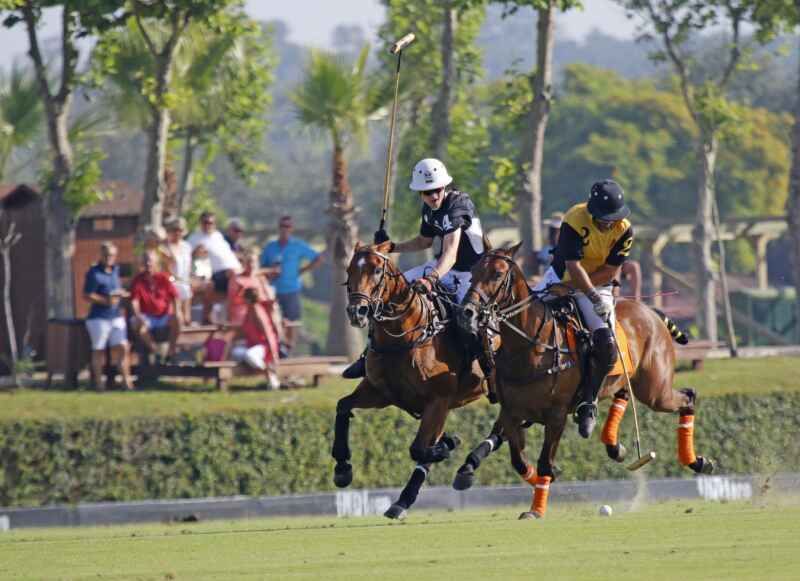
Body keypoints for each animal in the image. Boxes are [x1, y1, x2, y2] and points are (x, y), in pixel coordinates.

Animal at [334, 238, 484, 520]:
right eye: (349, 270)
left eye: (376, 270)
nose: (357, 311)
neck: (403, 335)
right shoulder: (382, 392)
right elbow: (343, 407)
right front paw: (342, 468)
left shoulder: (438, 399)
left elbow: (419, 448)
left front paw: (448, 444)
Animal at [456, 242, 712, 520]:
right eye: (473, 272)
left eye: (498, 274)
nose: (466, 312)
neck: (531, 346)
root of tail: (650, 312)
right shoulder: (512, 411)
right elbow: (518, 459)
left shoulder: (555, 416)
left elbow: (543, 462)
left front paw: (535, 510)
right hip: (632, 381)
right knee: (625, 395)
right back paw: (615, 445)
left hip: (656, 389)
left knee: (688, 395)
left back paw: (696, 461)